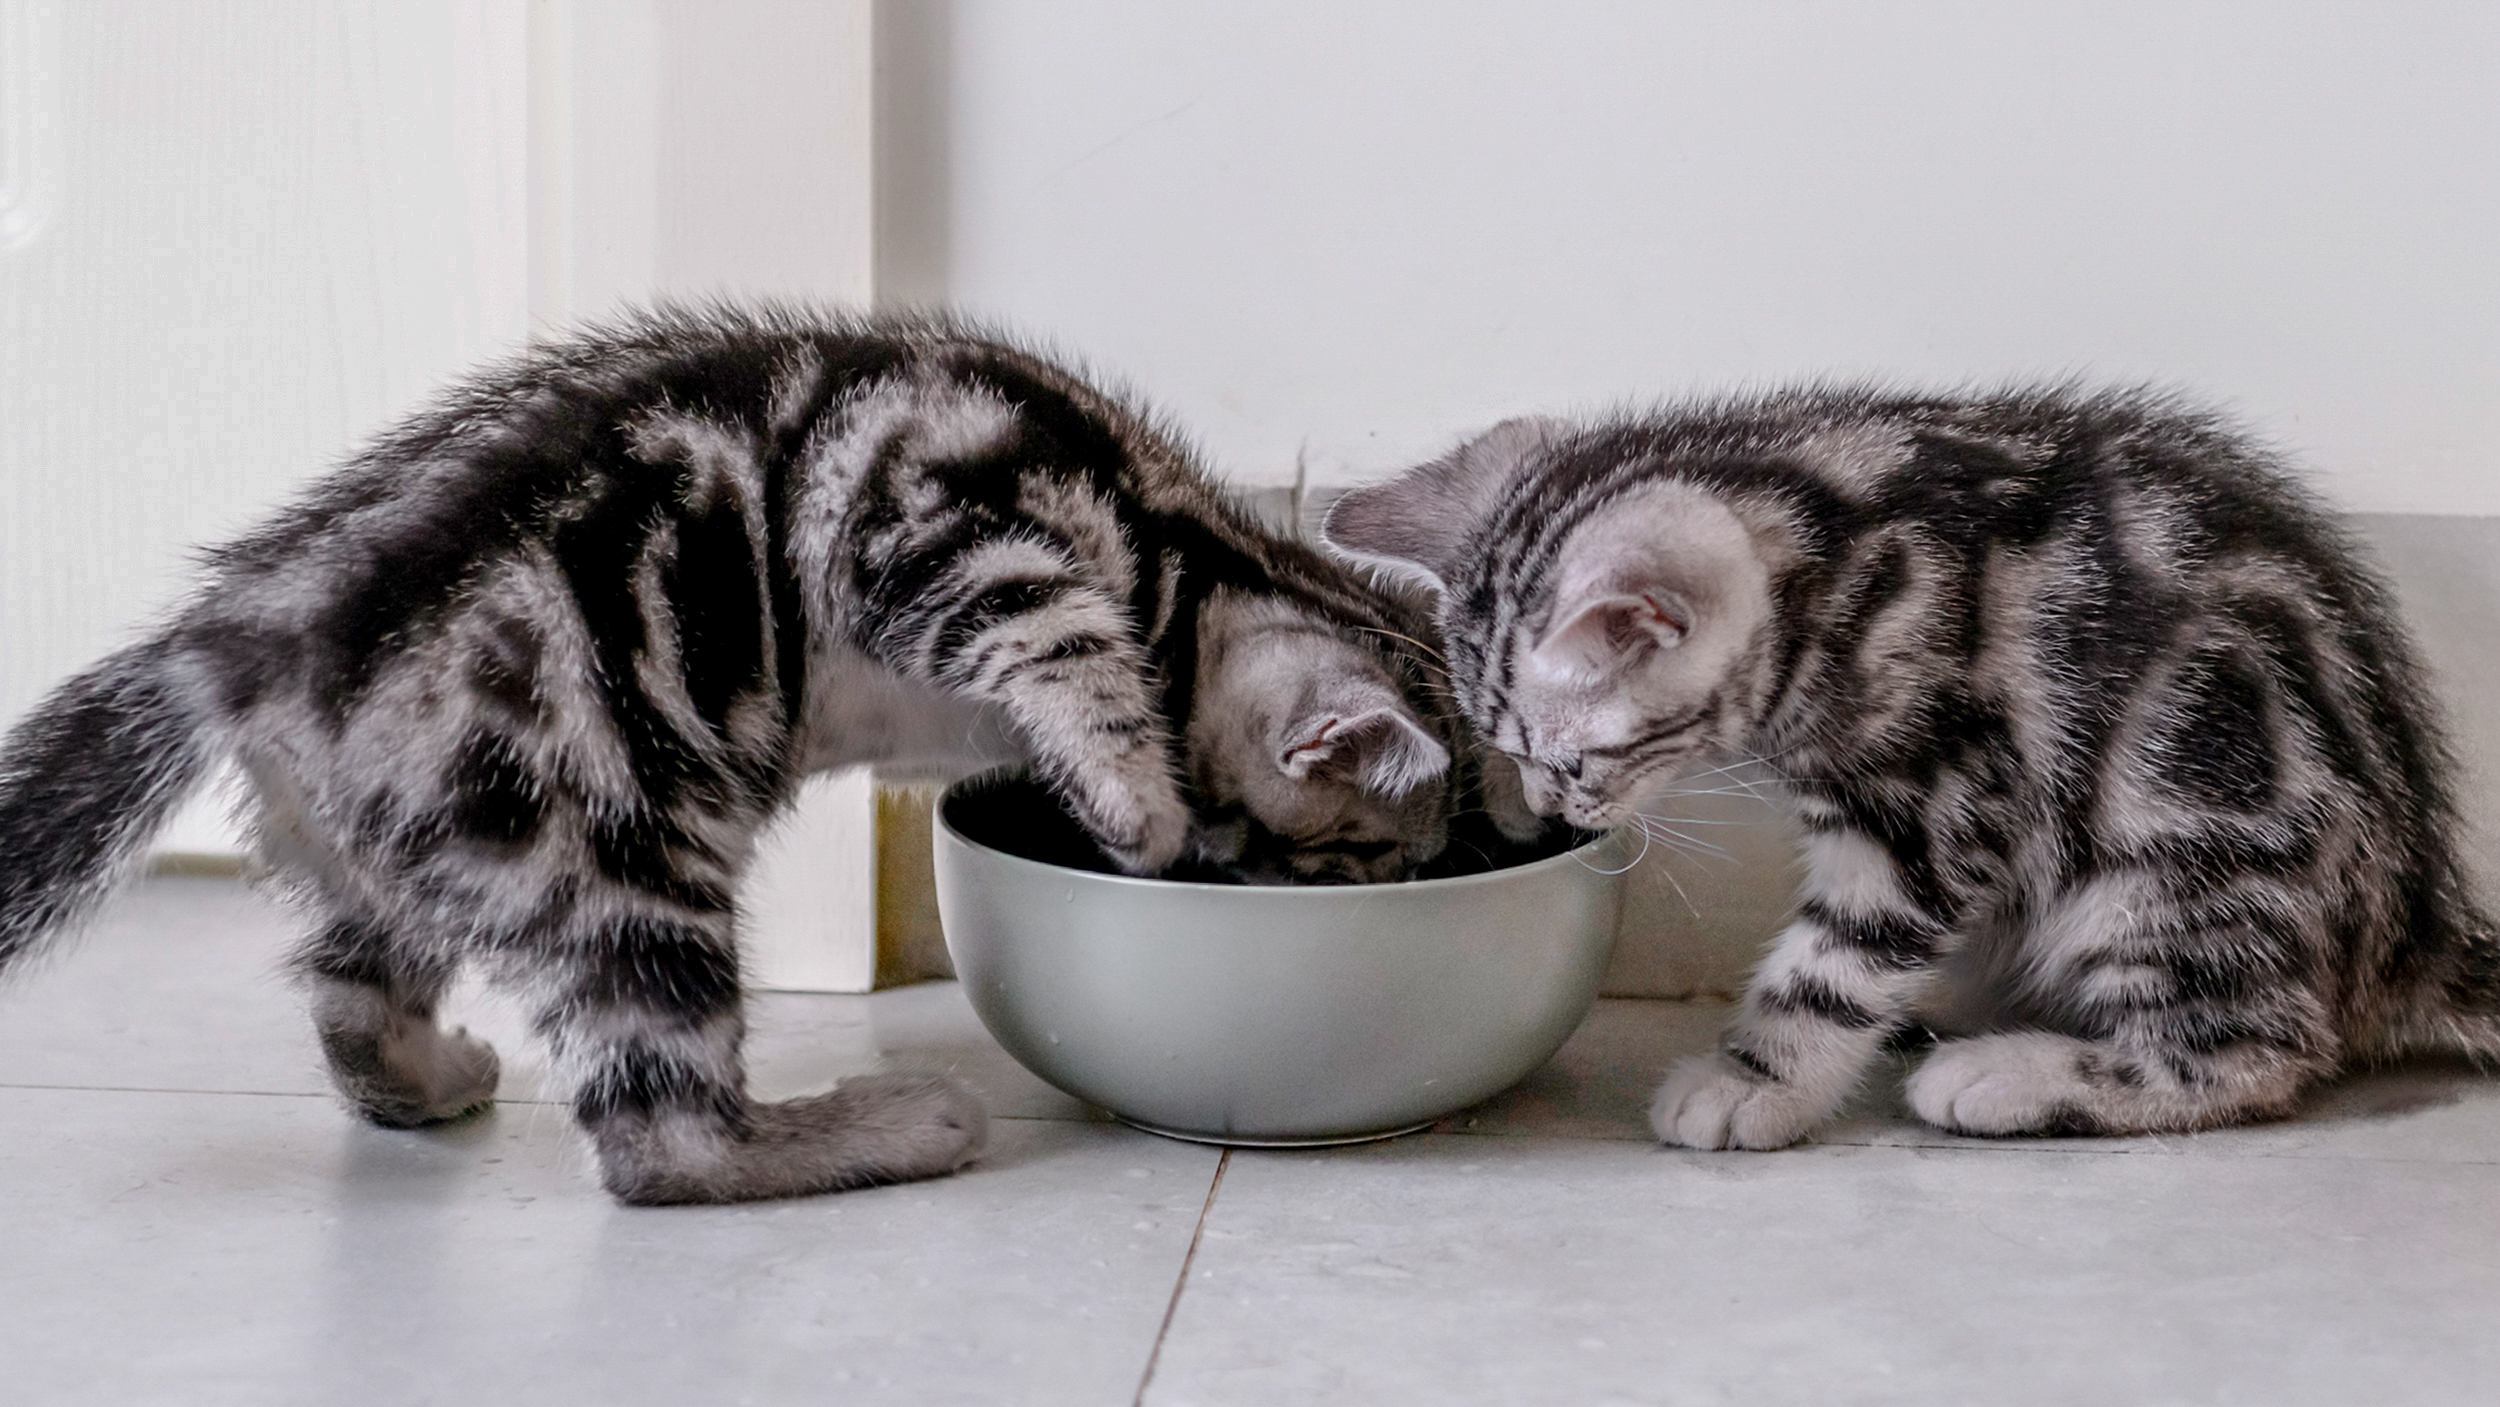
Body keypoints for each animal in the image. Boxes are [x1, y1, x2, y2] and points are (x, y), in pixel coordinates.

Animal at [0, 306, 1480, 1199]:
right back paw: (880, 1126)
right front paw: (1135, 801)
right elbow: (1061, 637)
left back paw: (424, 1076)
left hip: (424, 837)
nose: (1238, 881)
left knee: (353, 997)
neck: (1181, 546)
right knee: (666, 1139)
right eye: (1357, 863)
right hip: (611, 842)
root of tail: (244, 628)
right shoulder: (941, 518)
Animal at [1330, 384, 2500, 1144]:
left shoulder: (1934, 806)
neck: (1835, 545)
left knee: (2257, 1050)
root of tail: (2414, 931)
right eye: (1506, 750)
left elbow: (1835, 963)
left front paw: (1755, 1081)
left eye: (1571, 762)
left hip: (2169, 864)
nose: (1551, 809)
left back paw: (2008, 1076)